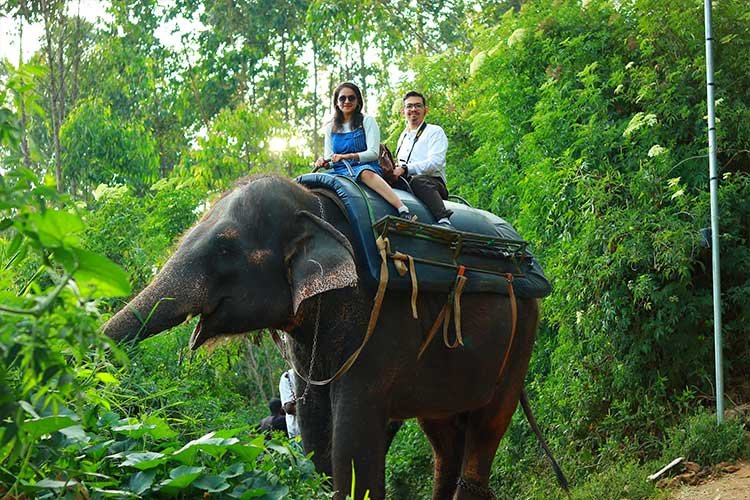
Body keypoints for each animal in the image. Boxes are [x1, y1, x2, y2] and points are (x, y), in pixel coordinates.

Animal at [107, 174, 560, 498]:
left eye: (224, 248)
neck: (317, 208)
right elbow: (313, 426)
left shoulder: (379, 324)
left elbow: (351, 440)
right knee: (444, 436)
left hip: (522, 334)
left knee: (487, 427)